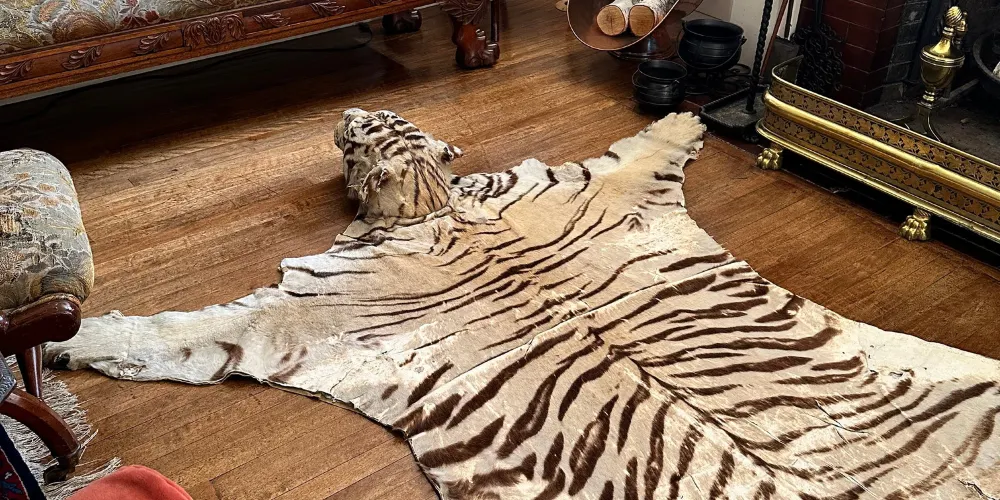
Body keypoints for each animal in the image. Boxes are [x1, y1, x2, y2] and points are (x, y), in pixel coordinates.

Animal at [46, 110, 1000, 499]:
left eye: (364, 130)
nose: (347, 107)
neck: (436, 204)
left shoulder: (290, 313)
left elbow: (178, 333)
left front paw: (70, 339)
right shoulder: (600, 186)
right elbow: (643, 145)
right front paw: (700, 113)